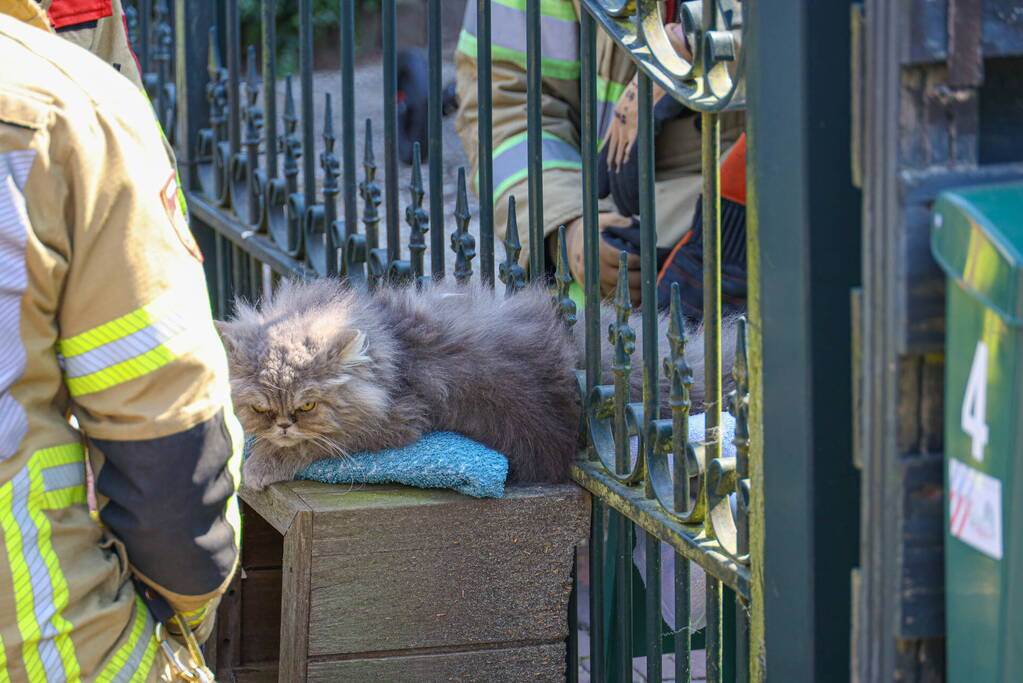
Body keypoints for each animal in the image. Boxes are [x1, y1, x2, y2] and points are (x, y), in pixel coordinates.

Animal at [217, 278, 728, 490]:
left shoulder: (399, 418)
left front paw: (259, 466)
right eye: (261, 408)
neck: (394, 344)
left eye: (306, 407)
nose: (282, 424)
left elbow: (312, 444)